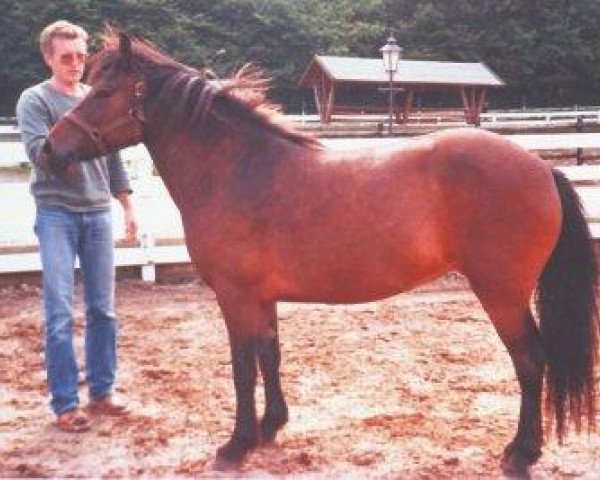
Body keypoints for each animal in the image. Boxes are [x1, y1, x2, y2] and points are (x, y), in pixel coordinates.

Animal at [39, 32, 596, 476]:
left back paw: (521, 453)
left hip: (501, 293)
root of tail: (540, 166)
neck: (238, 170)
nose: (48, 150)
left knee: (530, 361)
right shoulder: (261, 298)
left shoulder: (235, 298)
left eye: (104, 92)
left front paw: (236, 446)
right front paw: (270, 427)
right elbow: (269, 355)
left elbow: (242, 368)